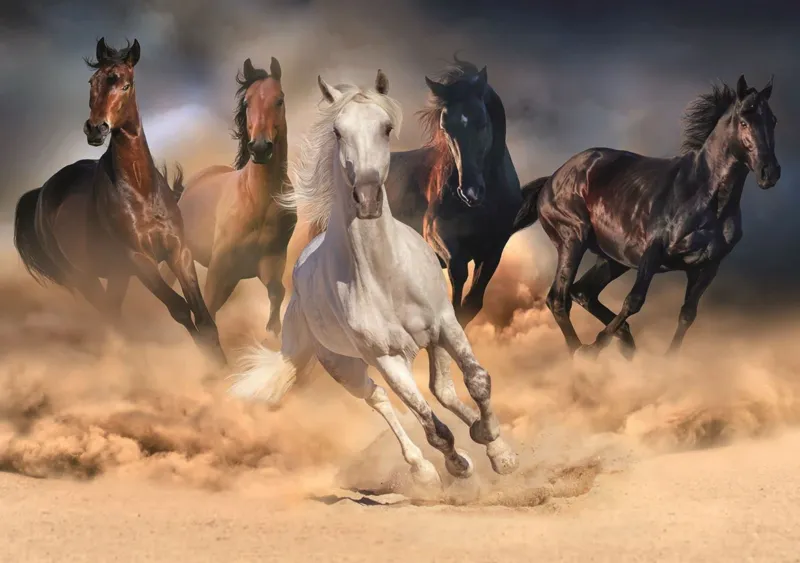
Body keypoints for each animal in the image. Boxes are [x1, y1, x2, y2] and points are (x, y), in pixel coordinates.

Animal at [12, 38, 225, 364]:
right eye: (93, 81)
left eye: (125, 84)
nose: (95, 129)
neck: (141, 191)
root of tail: (41, 193)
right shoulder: (139, 259)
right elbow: (179, 309)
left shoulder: (178, 251)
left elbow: (202, 316)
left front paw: (225, 368)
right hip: (83, 277)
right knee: (110, 315)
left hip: (116, 275)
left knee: (113, 311)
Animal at [166, 57, 294, 337]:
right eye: (246, 102)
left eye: (279, 100)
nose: (260, 147)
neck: (257, 200)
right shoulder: (220, 269)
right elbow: (208, 313)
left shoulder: (269, 262)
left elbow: (277, 294)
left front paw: (272, 334)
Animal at [228, 70, 518, 488]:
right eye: (337, 131)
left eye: (386, 128)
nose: (366, 198)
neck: (387, 277)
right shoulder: (386, 359)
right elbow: (431, 425)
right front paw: (458, 464)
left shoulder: (446, 324)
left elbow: (477, 380)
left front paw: (498, 448)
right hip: (346, 367)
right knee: (380, 399)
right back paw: (424, 468)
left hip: (431, 342)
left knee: (443, 389)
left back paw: (483, 438)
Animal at [513, 75, 780, 357]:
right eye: (744, 122)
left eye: (773, 120)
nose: (770, 172)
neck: (704, 197)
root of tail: (551, 179)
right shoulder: (653, 253)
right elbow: (634, 301)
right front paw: (596, 347)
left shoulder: (708, 266)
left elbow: (687, 314)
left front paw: (667, 359)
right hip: (572, 239)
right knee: (559, 298)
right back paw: (581, 352)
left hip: (613, 258)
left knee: (582, 292)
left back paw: (625, 341)